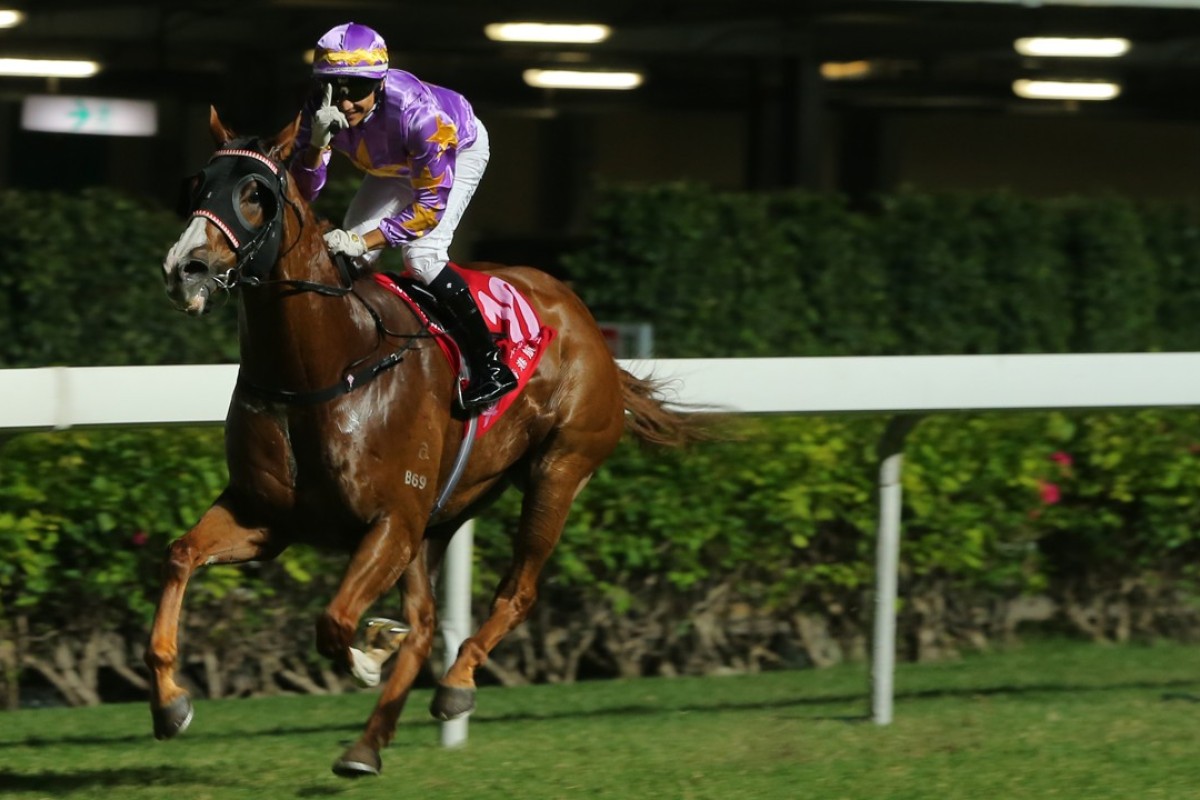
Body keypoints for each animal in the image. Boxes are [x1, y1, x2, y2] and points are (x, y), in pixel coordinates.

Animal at [150, 109, 700, 777]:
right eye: (197, 185)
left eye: (256, 193)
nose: (185, 268)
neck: (325, 365)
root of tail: (583, 320)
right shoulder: (267, 517)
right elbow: (180, 555)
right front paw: (170, 704)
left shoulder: (392, 519)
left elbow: (335, 622)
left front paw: (368, 655)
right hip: (443, 513)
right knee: (425, 620)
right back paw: (367, 744)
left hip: (558, 470)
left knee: (516, 591)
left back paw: (455, 684)